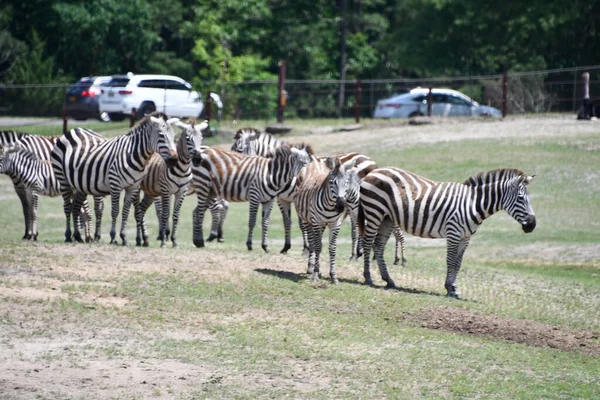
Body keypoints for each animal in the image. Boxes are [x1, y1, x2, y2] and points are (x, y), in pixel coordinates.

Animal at [50, 111, 178, 245]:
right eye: (161, 135)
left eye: (173, 136)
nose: (174, 160)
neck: (133, 154)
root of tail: (73, 130)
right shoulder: (115, 185)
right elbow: (115, 211)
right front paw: (113, 237)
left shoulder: (133, 187)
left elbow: (126, 211)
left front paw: (124, 237)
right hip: (63, 180)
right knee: (67, 207)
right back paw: (68, 236)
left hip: (80, 185)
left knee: (76, 207)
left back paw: (78, 236)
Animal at [134, 118, 207, 247]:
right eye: (188, 139)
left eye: (201, 138)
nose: (198, 160)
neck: (182, 169)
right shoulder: (166, 191)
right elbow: (165, 214)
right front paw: (163, 241)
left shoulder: (181, 192)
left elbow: (176, 215)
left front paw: (174, 241)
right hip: (136, 188)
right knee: (137, 211)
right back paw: (138, 239)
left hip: (151, 192)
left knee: (142, 209)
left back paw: (145, 239)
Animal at [294, 156, 356, 284]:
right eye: (332, 182)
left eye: (347, 182)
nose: (340, 206)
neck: (330, 207)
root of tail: (314, 162)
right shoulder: (317, 222)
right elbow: (317, 247)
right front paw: (315, 275)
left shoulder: (336, 224)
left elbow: (332, 248)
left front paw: (333, 276)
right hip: (307, 220)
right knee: (312, 243)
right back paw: (311, 268)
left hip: (321, 224)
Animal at [358, 167, 536, 298]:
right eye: (521, 198)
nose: (532, 225)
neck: (473, 204)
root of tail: (375, 171)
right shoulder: (453, 233)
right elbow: (450, 261)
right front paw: (449, 288)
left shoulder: (465, 237)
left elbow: (458, 263)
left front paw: (454, 288)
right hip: (374, 211)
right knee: (368, 243)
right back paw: (368, 277)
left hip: (387, 217)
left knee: (378, 246)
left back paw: (388, 280)